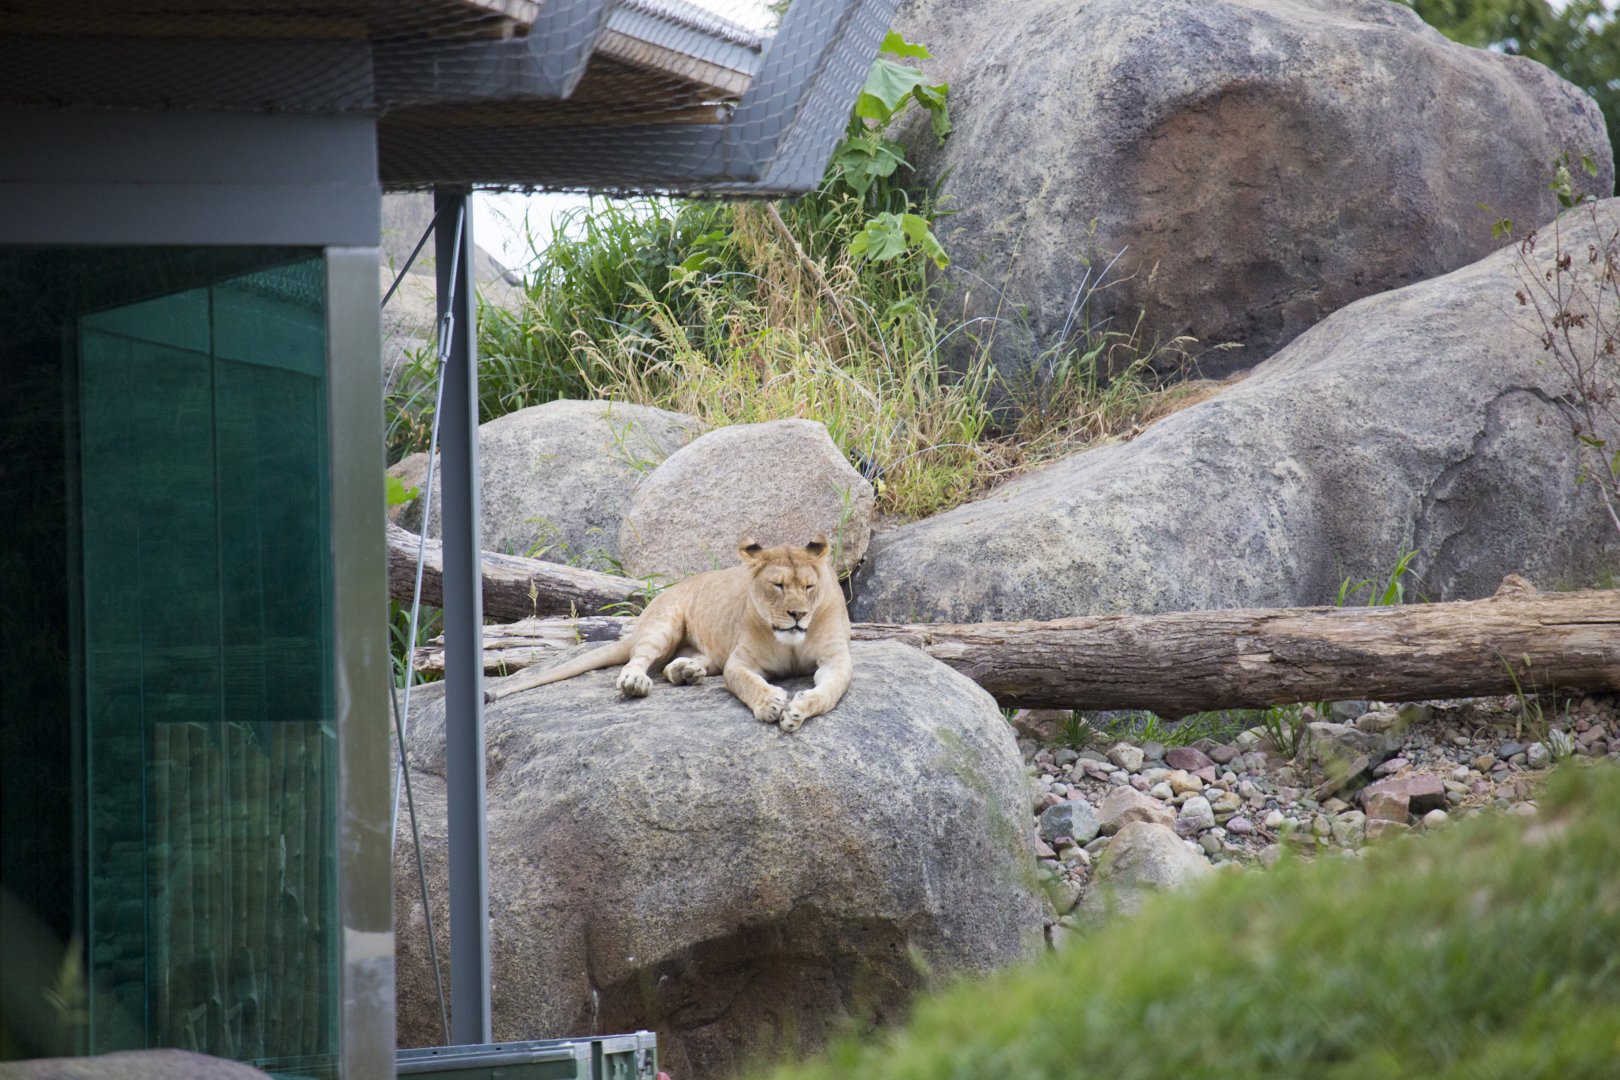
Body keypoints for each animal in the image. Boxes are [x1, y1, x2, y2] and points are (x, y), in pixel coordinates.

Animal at [483, 536, 853, 733]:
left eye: (809, 587)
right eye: (777, 586)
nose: (798, 615)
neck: (790, 642)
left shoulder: (836, 660)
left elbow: (829, 692)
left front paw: (798, 710)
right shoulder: (740, 662)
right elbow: (748, 683)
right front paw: (770, 703)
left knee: (675, 665)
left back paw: (687, 671)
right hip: (665, 623)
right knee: (639, 659)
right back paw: (636, 683)